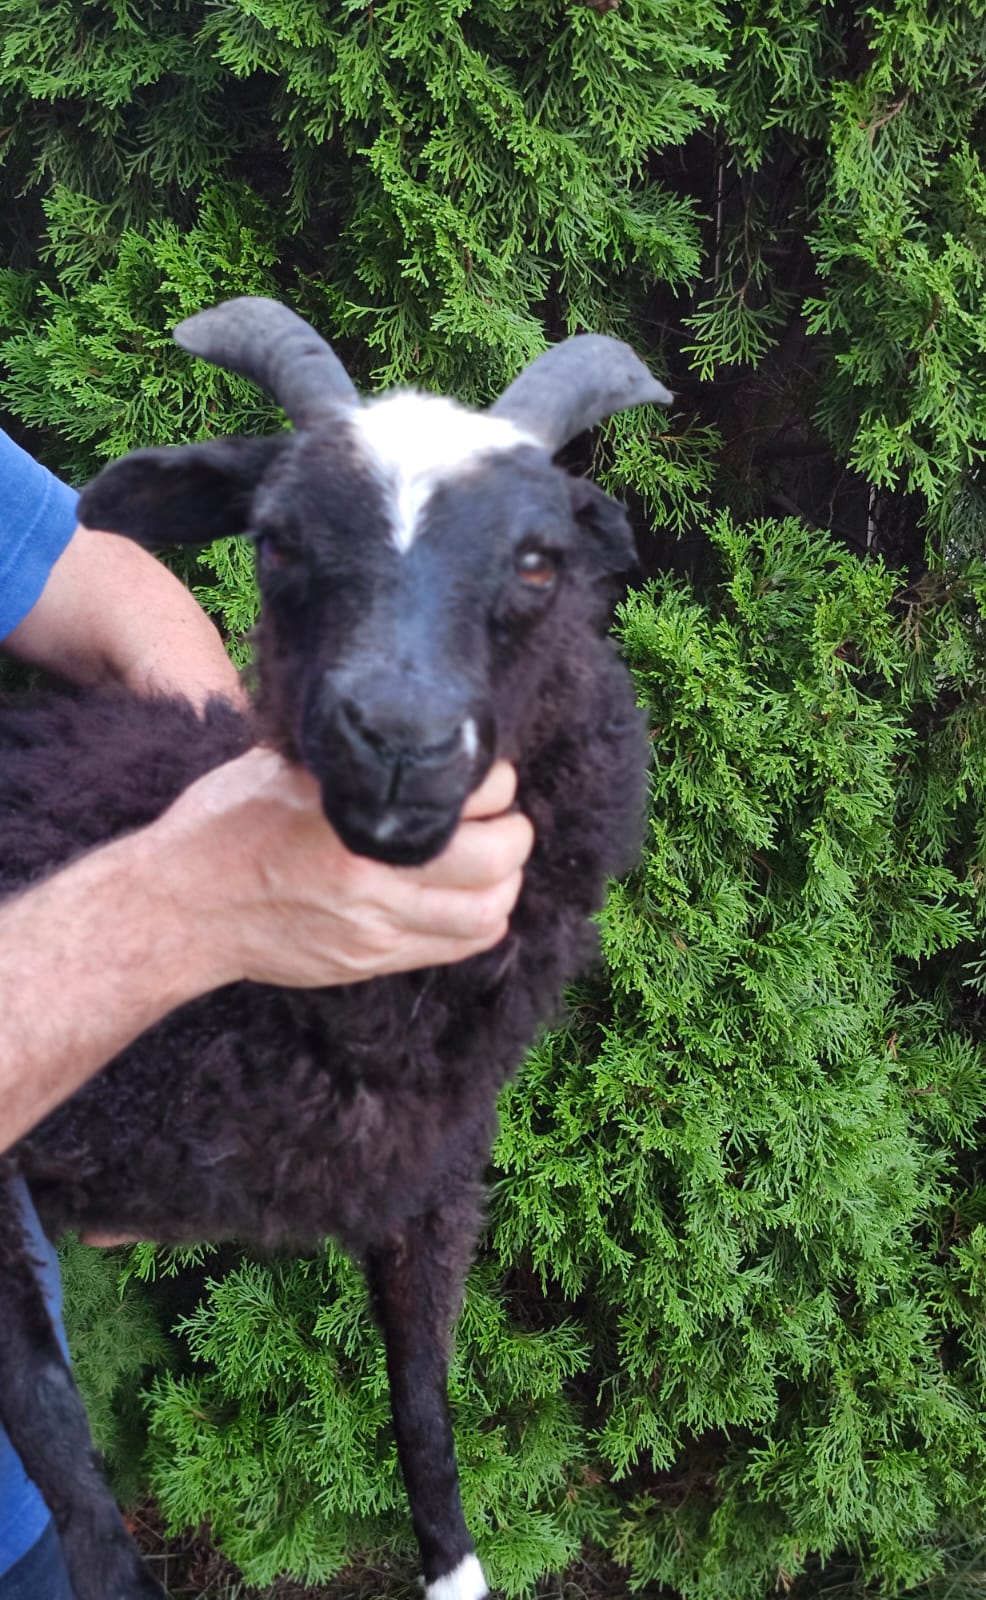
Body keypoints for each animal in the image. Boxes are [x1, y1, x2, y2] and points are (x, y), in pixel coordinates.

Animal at [0, 296, 670, 1600]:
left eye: (537, 560)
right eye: (276, 541)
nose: (397, 740)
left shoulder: (435, 1180)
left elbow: (422, 1408)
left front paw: (454, 1563)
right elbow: (69, 1470)